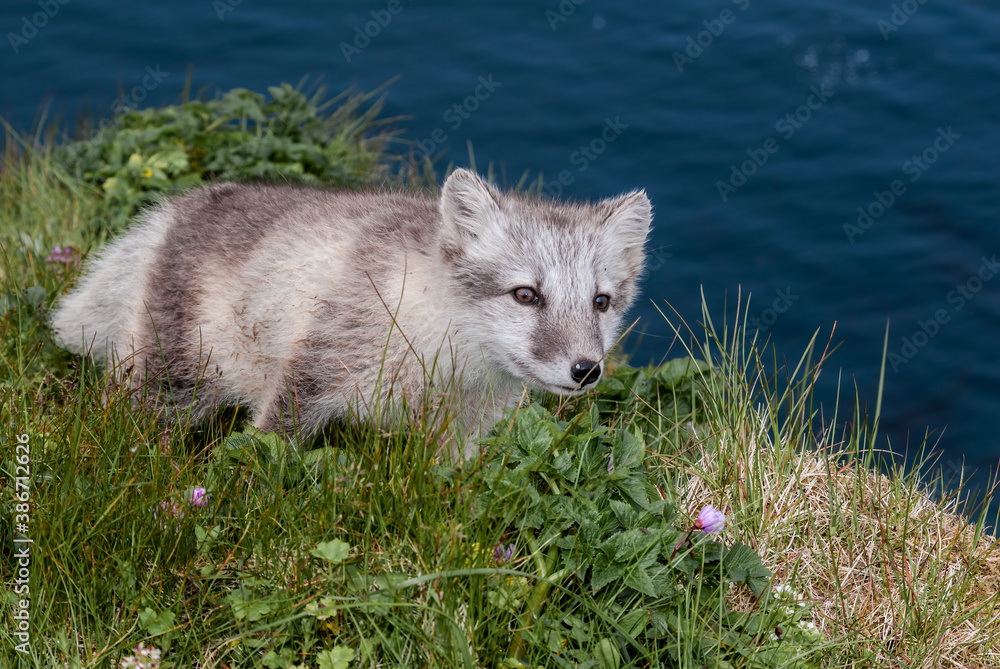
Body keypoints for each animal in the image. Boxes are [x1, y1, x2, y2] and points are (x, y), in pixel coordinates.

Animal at [50, 170, 652, 456]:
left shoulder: (465, 428)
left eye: (601, 302)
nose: (586, 370)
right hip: (175, 377)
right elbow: (267, 444)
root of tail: (171, 212)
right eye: (525, 295)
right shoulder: (315, 368)